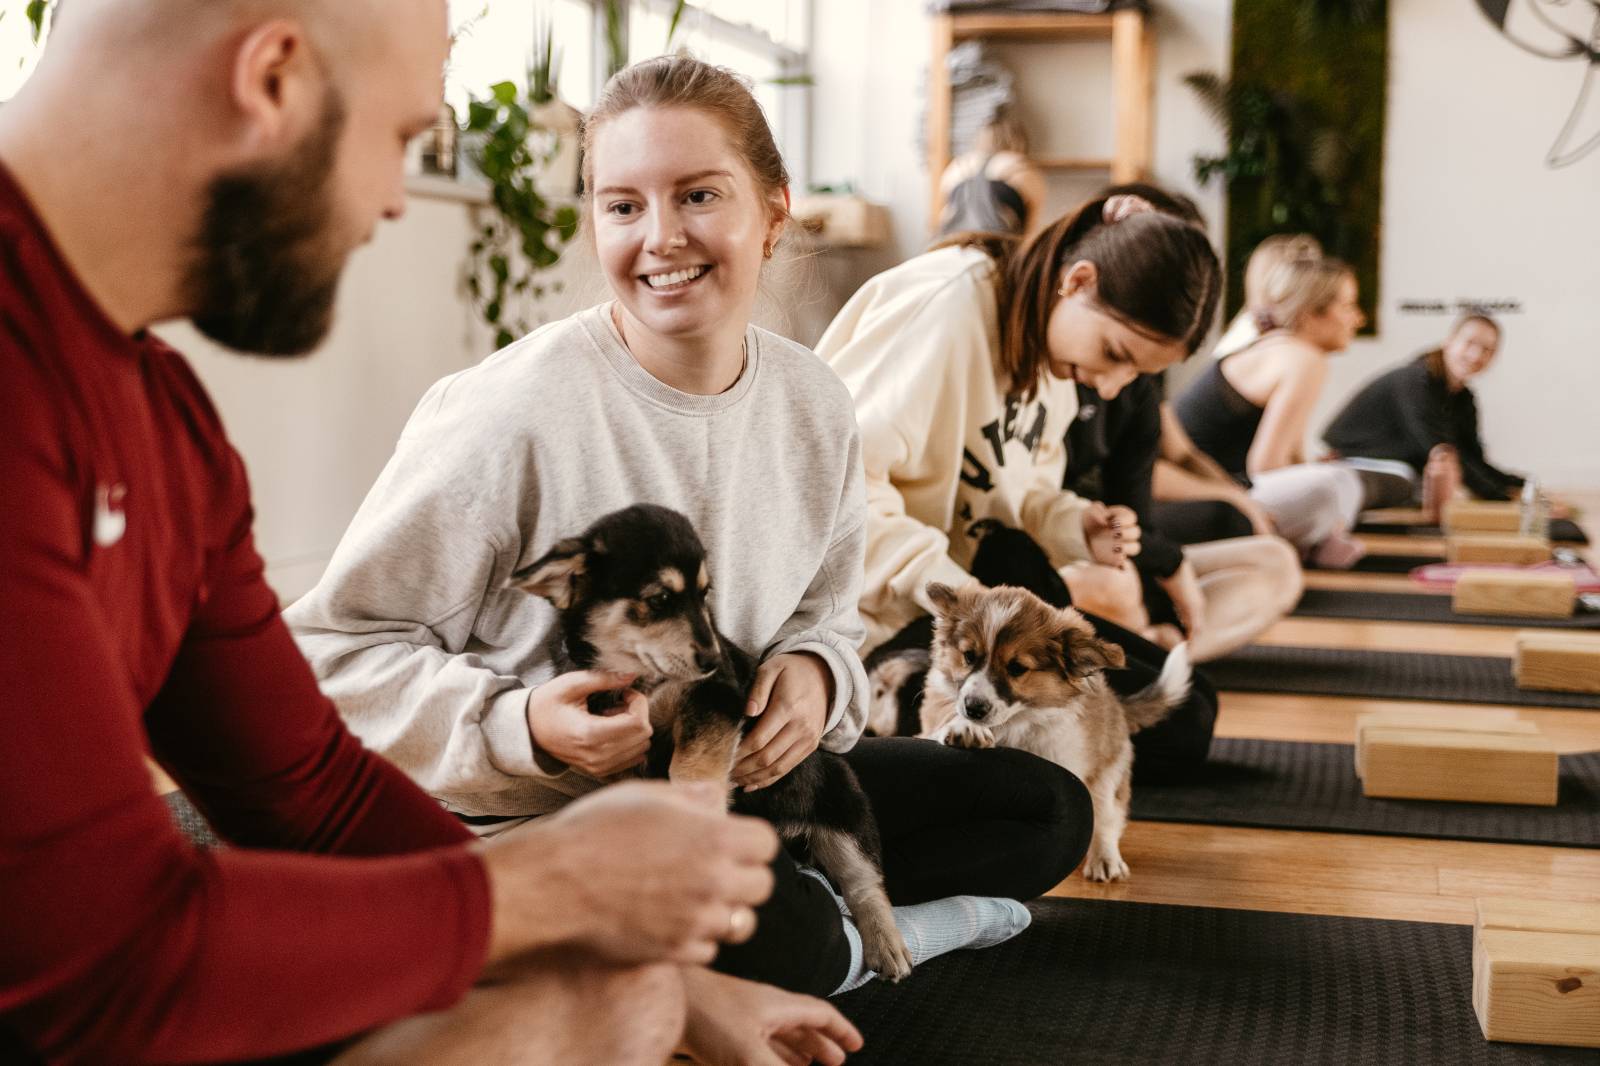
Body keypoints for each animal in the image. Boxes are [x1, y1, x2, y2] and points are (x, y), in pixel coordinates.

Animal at [512, 505, 915, 979]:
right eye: (659, 600)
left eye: (705, 595)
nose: (710, 659)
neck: (641, 678)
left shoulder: (714, 700)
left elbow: (690, 768)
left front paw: (698, 817)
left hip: (844, 811)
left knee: (864, 882)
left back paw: (888, 947)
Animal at [915, 582, 1190, 877]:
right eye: (968, 656)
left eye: (1017, 668)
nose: (974, 708)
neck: (1013, 723)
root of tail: (1117, 704)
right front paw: (966, 727)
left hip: (1108, 772)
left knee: (1107, 816)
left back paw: (1105, 859)